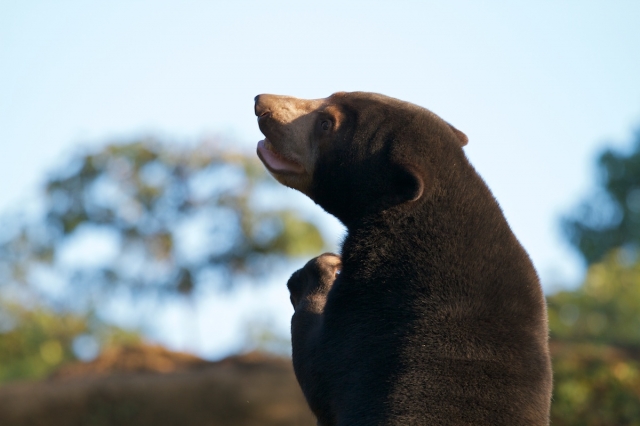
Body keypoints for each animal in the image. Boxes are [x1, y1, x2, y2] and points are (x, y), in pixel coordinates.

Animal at [252, 93, 552, 426]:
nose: (261, 103)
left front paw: (321, 270)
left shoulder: (378, 303)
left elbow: (319, 366)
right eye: (328, 96)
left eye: (326, 123)